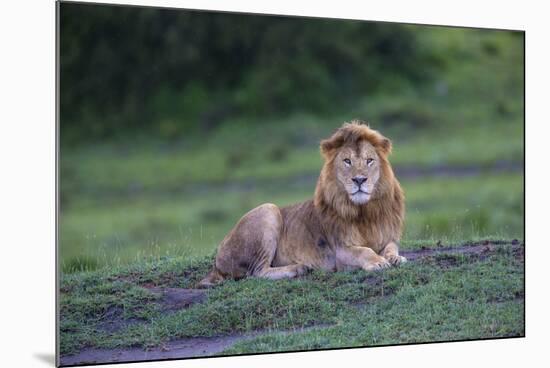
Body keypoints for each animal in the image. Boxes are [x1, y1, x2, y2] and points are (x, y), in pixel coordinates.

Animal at [201, 121, 408, 288]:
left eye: (369, 160)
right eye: (347, 161)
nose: (359, 180)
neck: (364, 211)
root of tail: (217, 262)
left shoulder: (388, 237)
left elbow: (391, 248)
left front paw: (396, 258)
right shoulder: (340, 252)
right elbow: (364, 251)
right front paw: (378, 262)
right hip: (268, 209)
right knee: (256, 273)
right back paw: (299, 268)